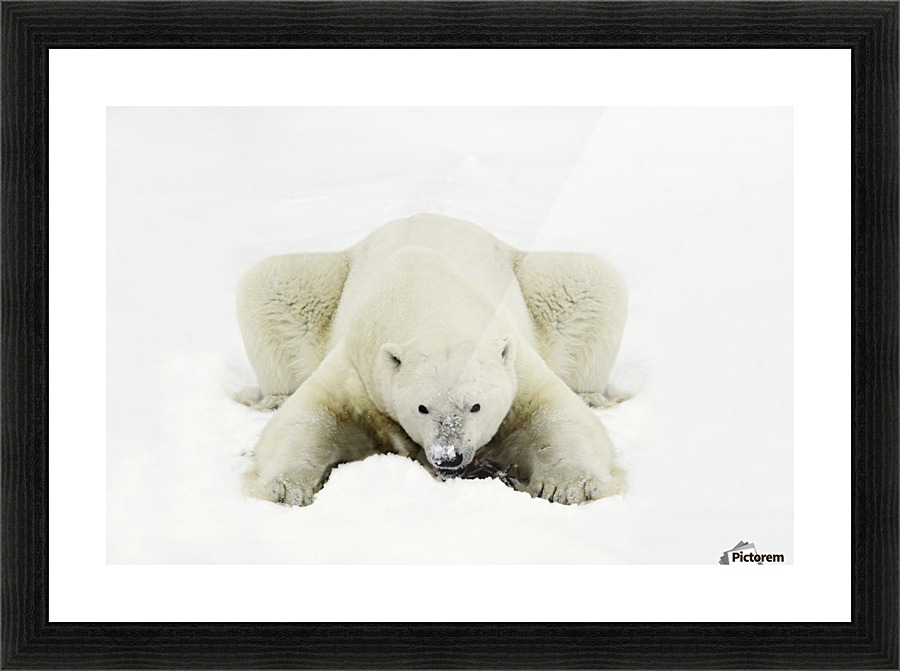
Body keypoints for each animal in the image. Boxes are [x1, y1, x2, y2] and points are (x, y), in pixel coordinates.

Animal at [237, 213, 628, 506]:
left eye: (476, 406)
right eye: (423, 407)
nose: (449, 457)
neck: (428, 297)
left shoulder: (514, 359)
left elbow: (556, 412)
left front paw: (569, 486)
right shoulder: (360, 366)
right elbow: (309, 415)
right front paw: (286, 488)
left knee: (589, 277)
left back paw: (593, 394)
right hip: (327, 281)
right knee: (270, 281)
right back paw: (272, 398)